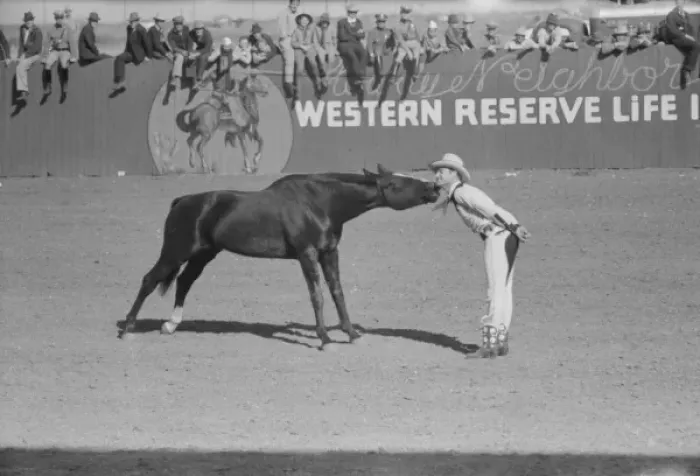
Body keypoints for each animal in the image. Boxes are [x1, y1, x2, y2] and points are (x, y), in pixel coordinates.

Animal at [120, 164, 441, 349]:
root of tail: (181, 201)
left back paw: (171, 325)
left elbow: (337, 292)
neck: (321, 202)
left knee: (184, 281)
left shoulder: (329, 252)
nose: (434, 188)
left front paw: (351, 333)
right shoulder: (307, 254)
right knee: (149, 280)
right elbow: (317, 295)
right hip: (175, 252)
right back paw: (128, 328)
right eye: (398, 183)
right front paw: (324, 339)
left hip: (203, 254)